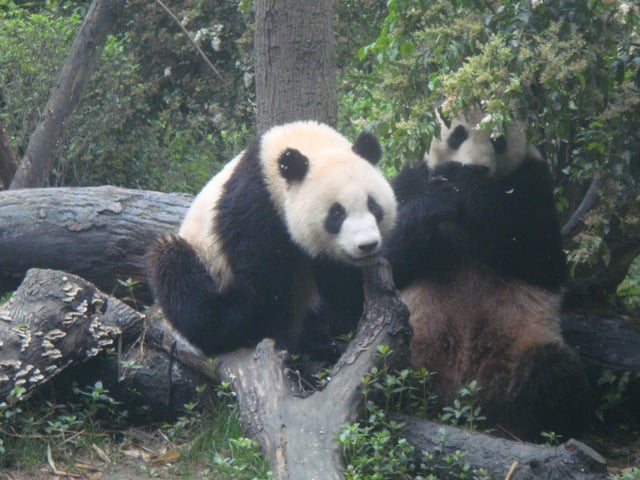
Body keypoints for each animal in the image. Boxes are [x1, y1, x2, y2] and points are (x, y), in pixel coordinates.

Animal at [148, 121, 398, 360]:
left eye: (373, 205)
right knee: (178, 275)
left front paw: (342, 330)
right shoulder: (256, 205)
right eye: (337, 214)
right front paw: (278, 338)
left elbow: (338, 282)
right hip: (202, 256)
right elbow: (267, 278)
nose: (367, 245)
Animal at [382, 110, 592, 440]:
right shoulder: (411, 176)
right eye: (458, 135)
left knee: (555, 372)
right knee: (385, 370)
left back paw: (545, 428)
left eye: (498, 139)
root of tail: (463, 398)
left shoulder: (534, 181)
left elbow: (543, 257)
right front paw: (442, 192)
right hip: (414, 342)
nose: (476, 167)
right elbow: (390, 253)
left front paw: (464, 183)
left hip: (522, 342)